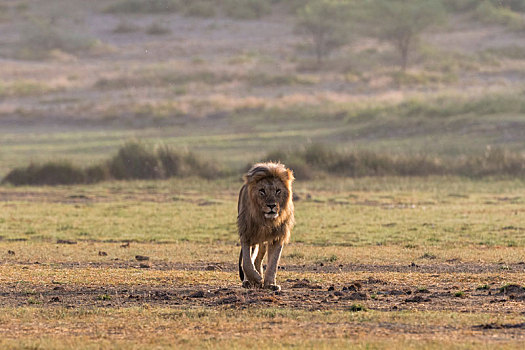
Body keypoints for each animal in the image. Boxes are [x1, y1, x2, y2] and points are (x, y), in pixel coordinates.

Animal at [237, 163, 294, 292]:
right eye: (262, 191)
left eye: (278, 191)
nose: (271, 205)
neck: (266, 220)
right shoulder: (246, 234)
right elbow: (247, 262)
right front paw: (256, 279)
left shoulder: (278, 236)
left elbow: (273, 262)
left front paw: (270, 284)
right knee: (251, 258)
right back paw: (249, 281)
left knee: (258, 258)